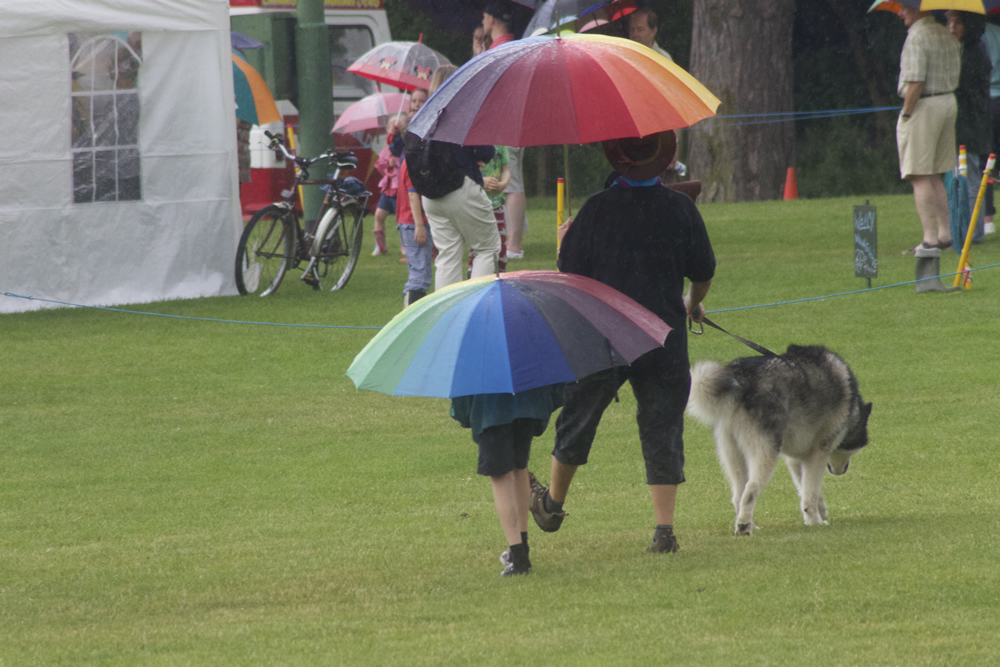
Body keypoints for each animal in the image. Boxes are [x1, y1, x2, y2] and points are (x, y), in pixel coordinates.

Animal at [684, 348, 872, 536]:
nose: (843, 470)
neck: (853, 408)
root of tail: (739, 376)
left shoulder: (797, 459)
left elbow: (808, 489)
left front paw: (820, 513)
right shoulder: (820, 450)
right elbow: (810, 493)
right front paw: (815, 521)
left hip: (731, 453)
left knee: (738, 494)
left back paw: (749, 524)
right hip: (765, 452)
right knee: (750, 491)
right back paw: (744, 526)